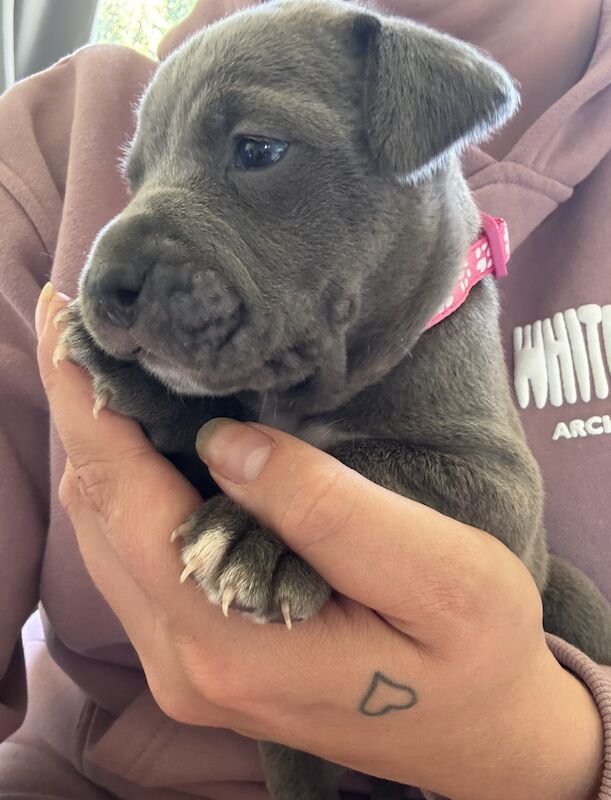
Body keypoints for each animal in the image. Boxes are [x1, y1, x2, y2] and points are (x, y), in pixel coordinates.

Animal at [56, 1, 611, 800]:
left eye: (258, 149)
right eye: (133, 176)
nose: (104, 282)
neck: (306, 396)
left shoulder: (500, 487)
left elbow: (372, 463)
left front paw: (261, 537)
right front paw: (148, 389)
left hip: (568, 587)